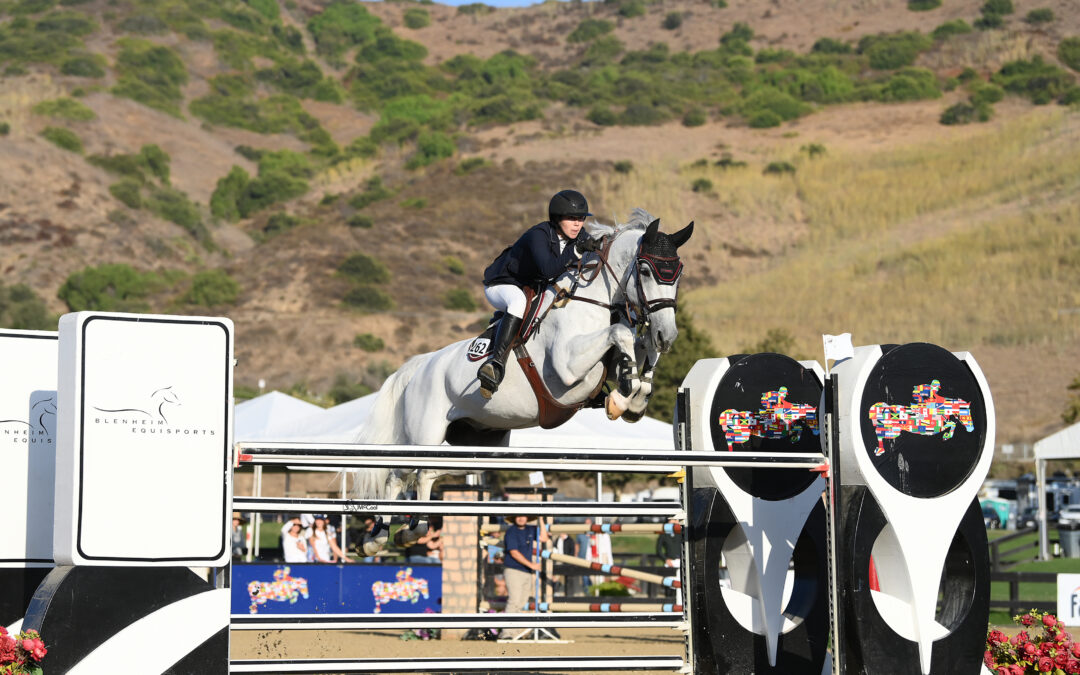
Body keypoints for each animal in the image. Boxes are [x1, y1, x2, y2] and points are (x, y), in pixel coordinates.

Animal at [349, 208, 695, 507]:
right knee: (399, 474)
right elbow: (620, 333)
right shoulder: (567, 369)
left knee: (426, 473)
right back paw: (390, 532)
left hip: (481, 445)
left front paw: (635, 395)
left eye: (678, 273)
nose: (668, 334)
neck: (592, 299)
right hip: (424, 434)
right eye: (646, 270)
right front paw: (622, 399)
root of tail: (419, 367)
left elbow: (639, 348)